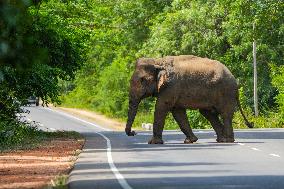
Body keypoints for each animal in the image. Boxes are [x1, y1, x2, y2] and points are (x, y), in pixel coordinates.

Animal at [125, 55, 253, 144]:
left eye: (142, 80)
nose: (133, 132)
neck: (158, 61)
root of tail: (235, 80)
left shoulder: (170, 87)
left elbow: (161, 107)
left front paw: (153, 143)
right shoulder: (173, 90)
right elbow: (178, 112)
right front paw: (190, 141)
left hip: (226, 92)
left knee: (225, 114)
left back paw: (227, 141)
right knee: (209, 114)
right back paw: (221, 140)